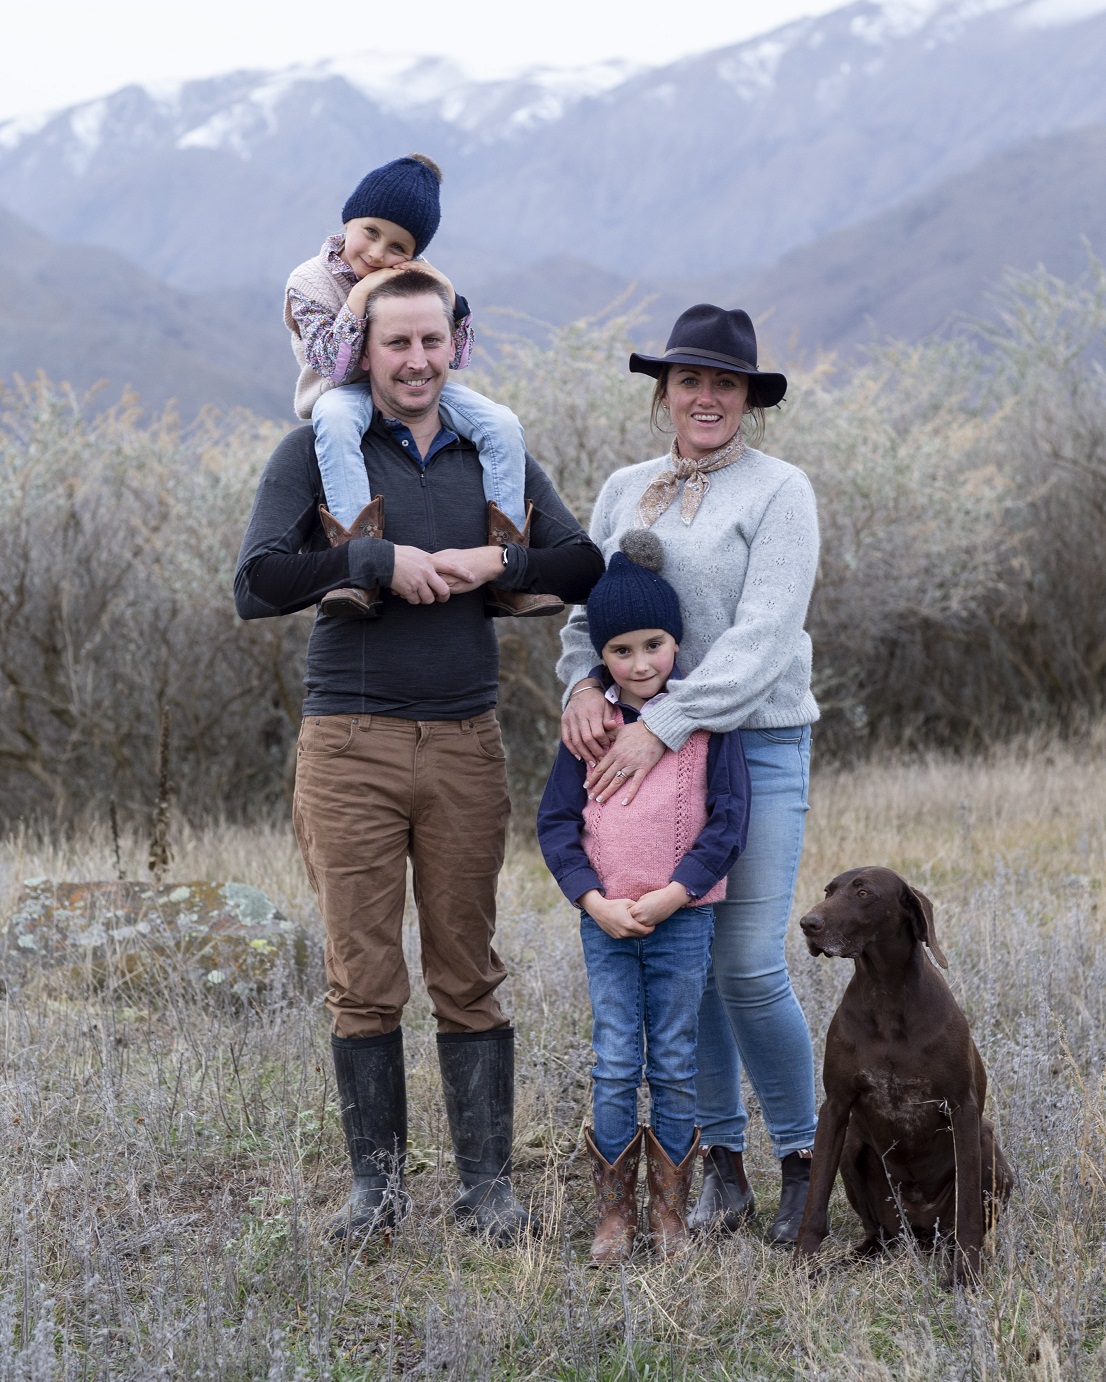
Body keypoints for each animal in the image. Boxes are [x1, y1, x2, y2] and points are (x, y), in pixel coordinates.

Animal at [796, 862, 1011, 1282]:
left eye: (864, 893)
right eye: (829, 891)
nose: (808, 924)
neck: (886, 994)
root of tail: (923, 1233)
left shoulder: (962, 1110)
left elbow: (969, 1211)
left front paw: (965, 1276)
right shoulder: (835, 1108)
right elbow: (814, 1199)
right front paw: (802, 1265)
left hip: (987, 1142)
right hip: (854, 1149)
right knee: (879, 1235)